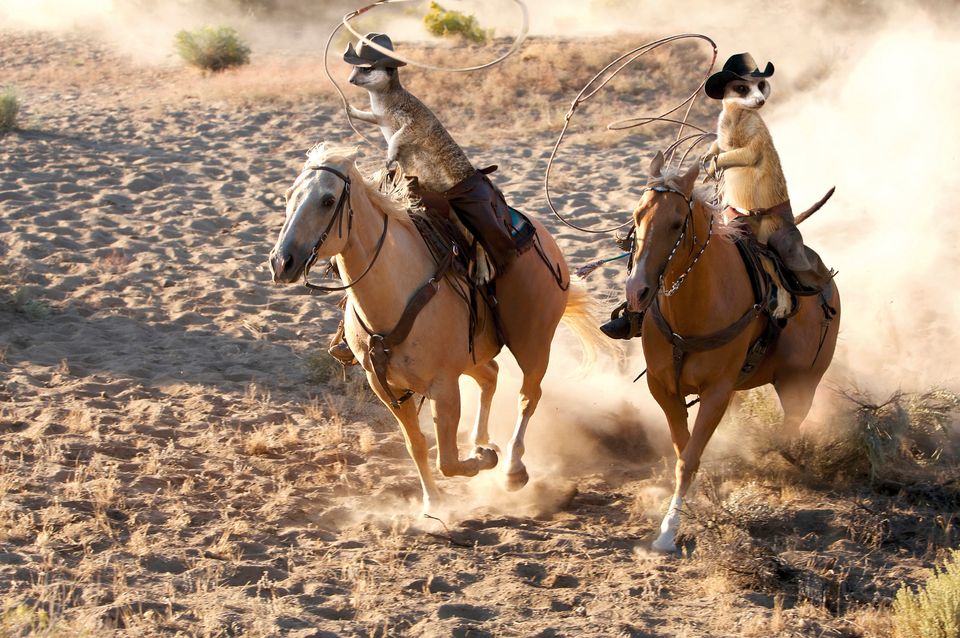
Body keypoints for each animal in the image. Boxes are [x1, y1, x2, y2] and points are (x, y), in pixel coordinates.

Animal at [270, 146, 600, 516]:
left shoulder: (443, 386)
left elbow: (448, 460)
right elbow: (416, 445)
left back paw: (511, 469)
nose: (282, 262)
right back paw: (482, 441)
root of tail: (544, 235)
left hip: (533, 344)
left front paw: (483, 461)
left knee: (528, 396)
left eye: (328, 200)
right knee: (491, 375)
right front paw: (434, 502)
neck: (395, 294)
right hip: (473, 356)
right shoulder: (385, 387)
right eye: (288, 197)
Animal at [624, 152, 840, 552]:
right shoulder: (663, 389)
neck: (691, 309)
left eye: (676, 222)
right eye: (636, 215)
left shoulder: (717, 393)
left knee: (790, 428)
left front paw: (667, 532)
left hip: (801, 383)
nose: (637, 291)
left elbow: (689, 459)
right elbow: (684, 451)